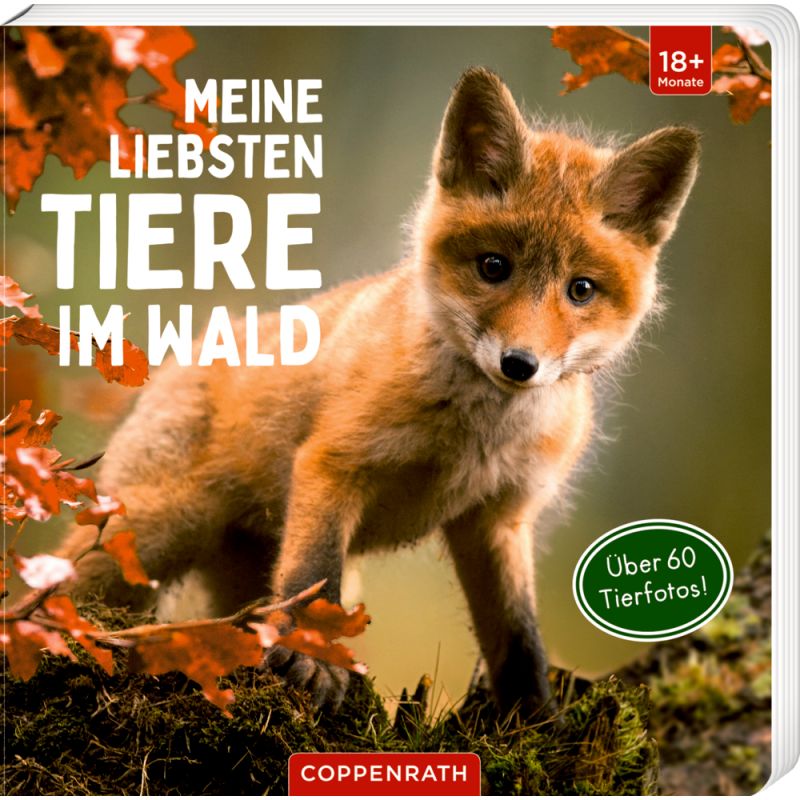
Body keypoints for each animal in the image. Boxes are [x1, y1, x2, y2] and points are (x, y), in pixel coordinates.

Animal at [60, 67, 699, 717]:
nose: (520, 364)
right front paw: (313, 662)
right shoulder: (333, 465)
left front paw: (533, 716)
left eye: (581, 289)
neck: (473, 438)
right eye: (494, 267)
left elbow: (518, 635)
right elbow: (313, 579)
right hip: (148, 535)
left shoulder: (498, 519)